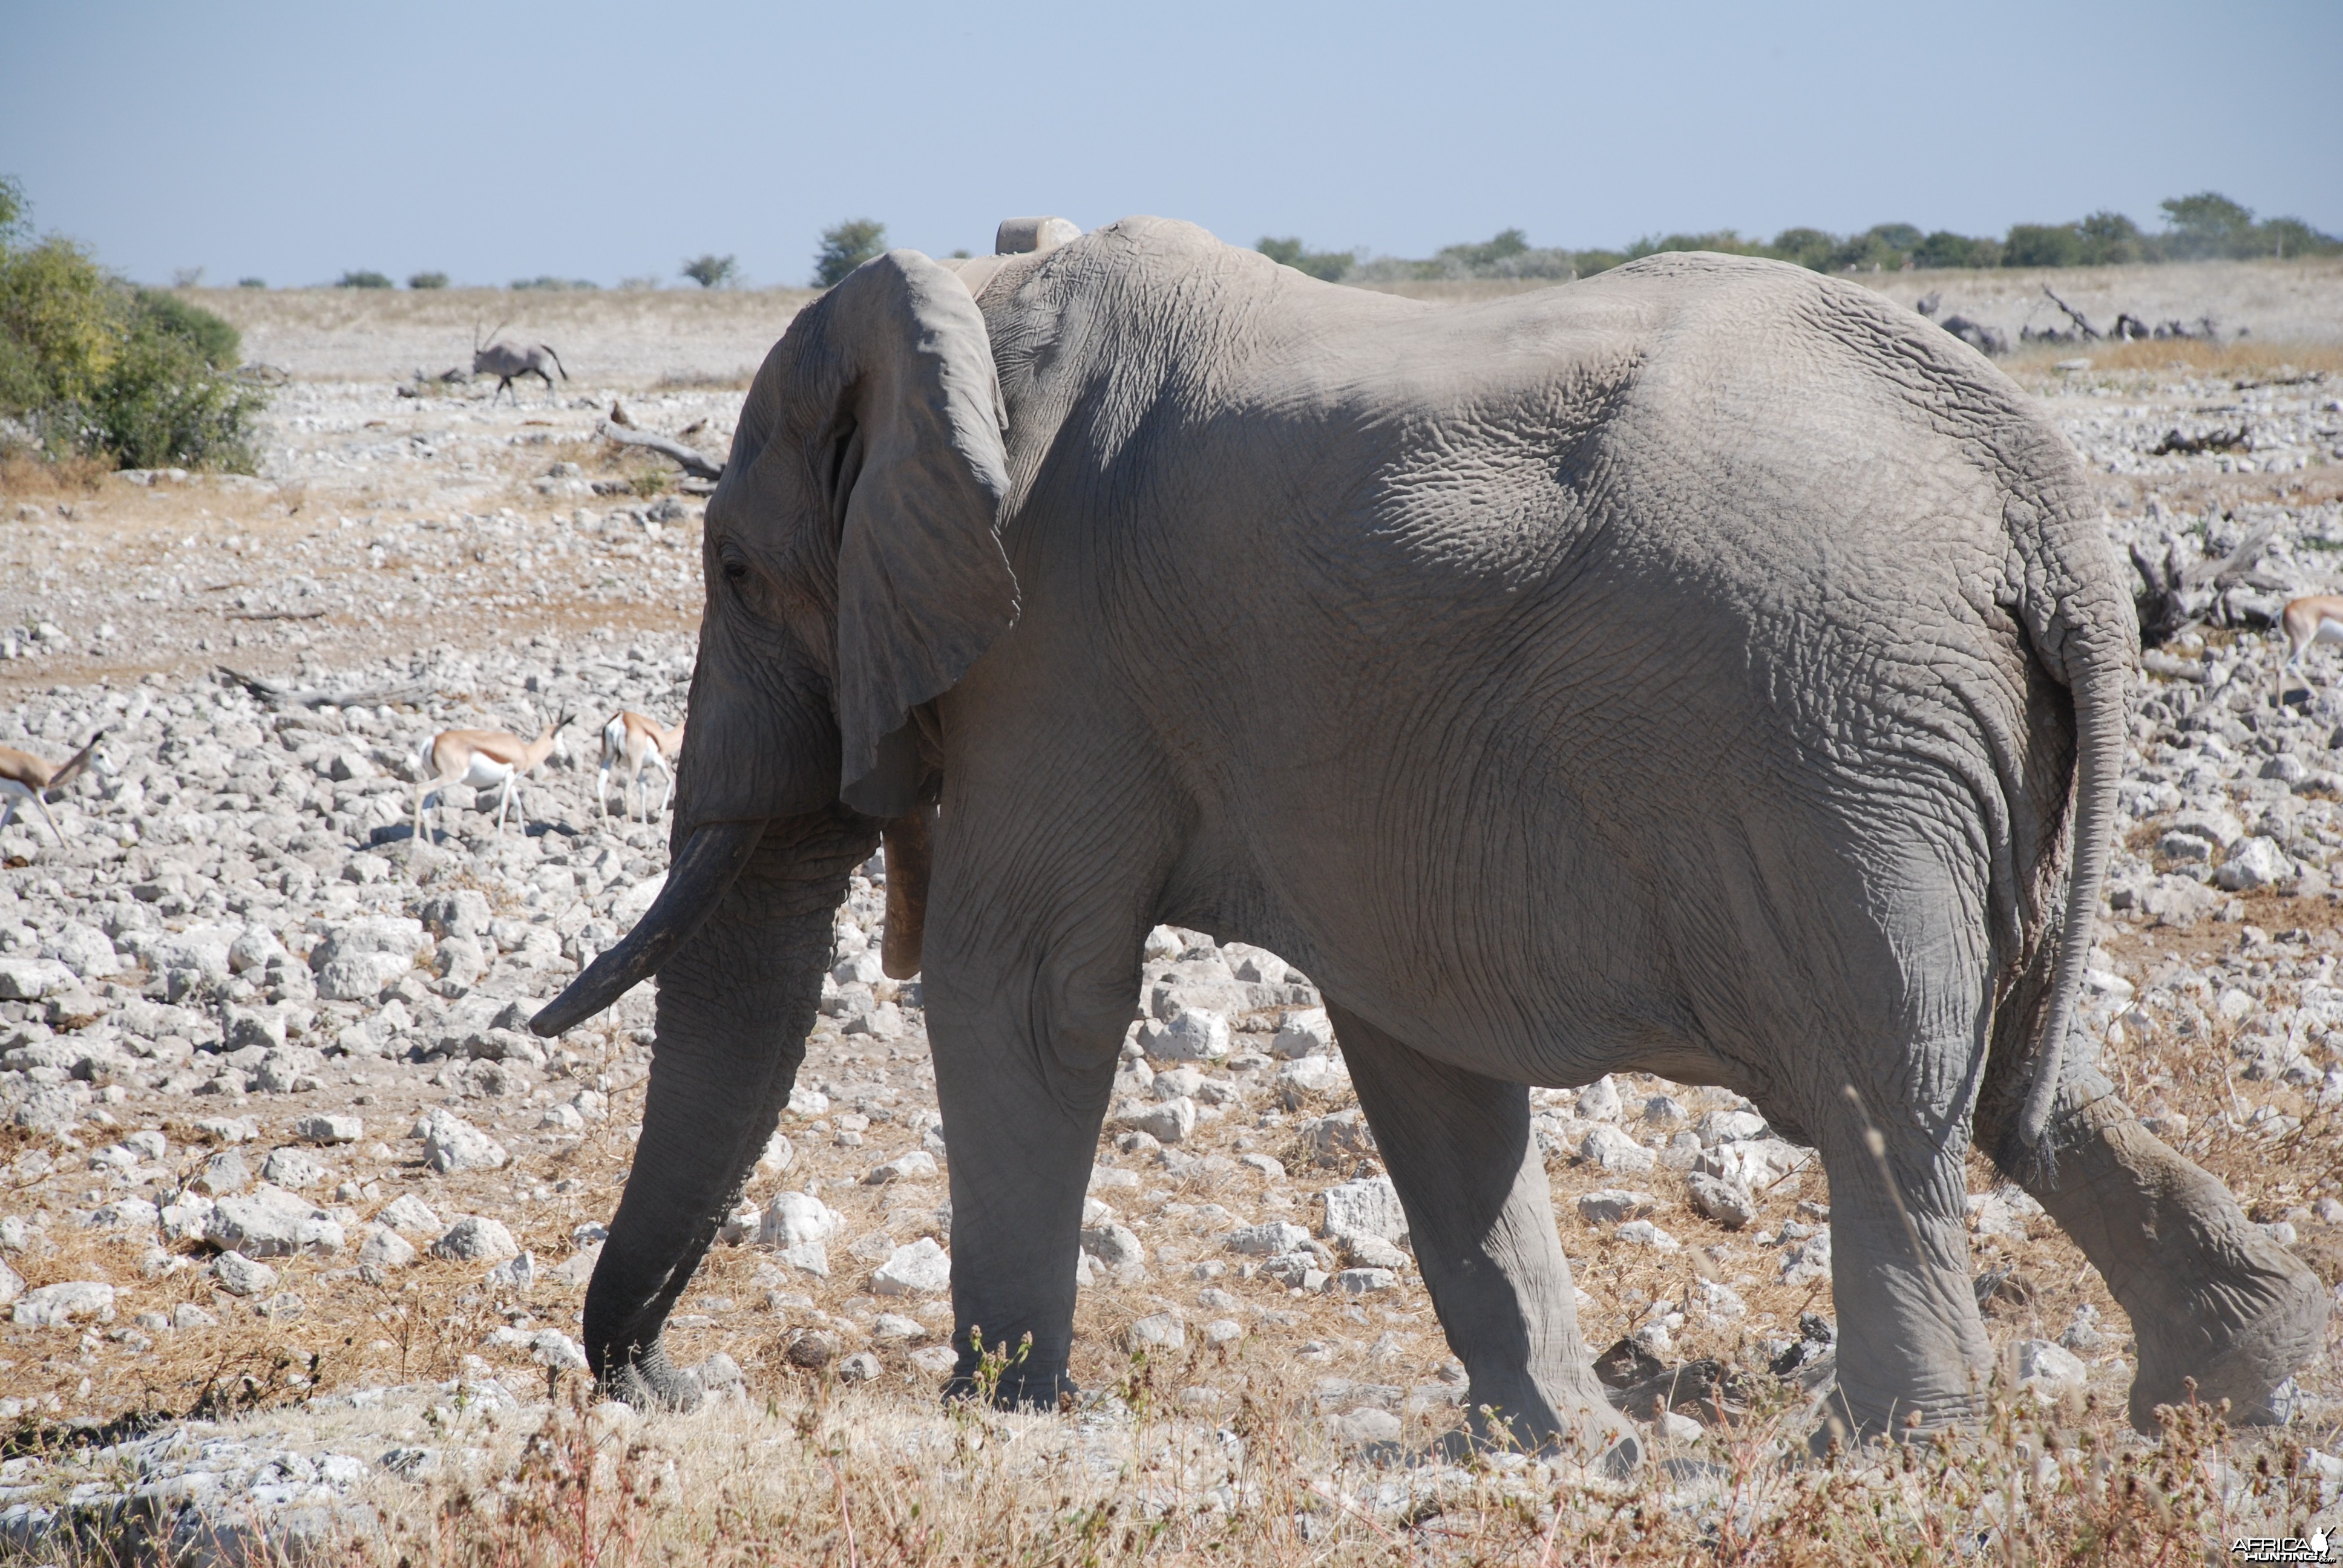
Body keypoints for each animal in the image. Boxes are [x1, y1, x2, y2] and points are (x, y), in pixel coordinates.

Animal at [0, 731, 108, 843]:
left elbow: (4, 821)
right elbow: (52, 822)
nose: (113, 773)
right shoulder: (36, 796)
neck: (51, 772)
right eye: (101, 755)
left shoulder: (16, 796)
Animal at [415, 717, 574, 843]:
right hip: (451, 777)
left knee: (426, 807)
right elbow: (504, 806)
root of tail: (434, 740)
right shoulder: (509, 777)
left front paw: (524, 836)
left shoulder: (510, 781)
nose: (564, 754)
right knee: (420, 790)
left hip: (436, 776)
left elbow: (518, 805)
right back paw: (416, 842)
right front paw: (499, 838)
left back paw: (431, 845)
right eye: (561, 736)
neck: (526, 752)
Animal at [600, 717, 684, 825]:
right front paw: (660, 814)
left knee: (600, 787)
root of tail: (620, 719)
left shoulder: (641, 769)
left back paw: (608, 826)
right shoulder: (658, 760)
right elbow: (670, 780)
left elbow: (643, 790)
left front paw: (644, 822)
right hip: (635, 763)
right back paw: (629, 823)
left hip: (608, 759)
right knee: (627, 791)